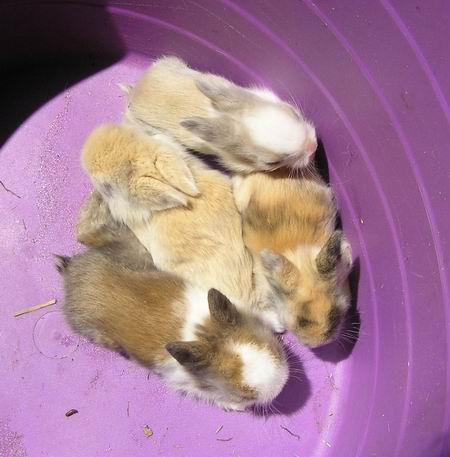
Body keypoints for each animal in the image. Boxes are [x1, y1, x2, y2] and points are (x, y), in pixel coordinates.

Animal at [55, 245, 289, 411]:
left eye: (274, 350)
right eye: (244, 392)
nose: (281, 386)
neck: (201, 330)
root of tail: (70, 274)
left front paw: (278, 323)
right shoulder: (183, 382)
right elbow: (210, 395)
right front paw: (234, 406)